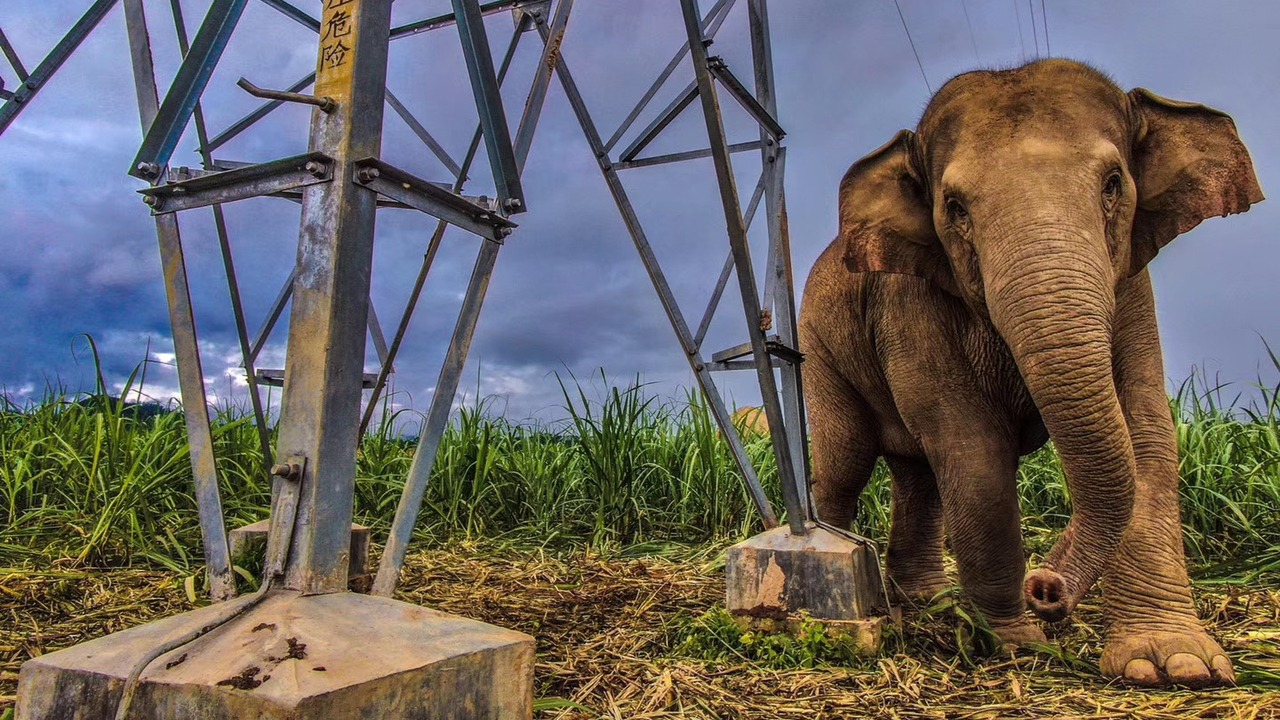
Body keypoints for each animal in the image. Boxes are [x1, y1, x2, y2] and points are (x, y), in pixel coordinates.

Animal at [798, 58, 1259, 686]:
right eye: (955, 207)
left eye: (1113, 183)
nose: (1045, 587)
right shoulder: (912, 302)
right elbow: (975, 451)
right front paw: (1017, 645)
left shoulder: (1131, 288)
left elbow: (1144, 431)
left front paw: (1177, 665)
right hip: (818, 347)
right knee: (844, 461)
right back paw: (845, 587)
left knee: (917, 472)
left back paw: (926, 604)